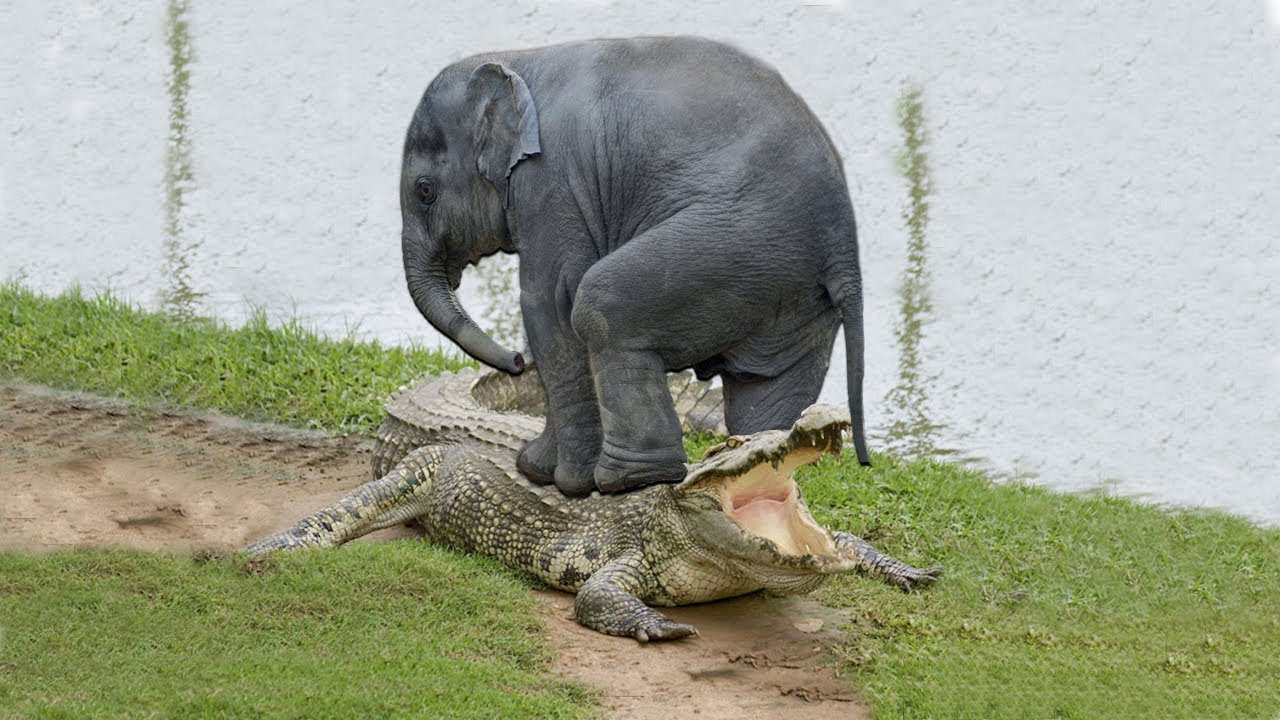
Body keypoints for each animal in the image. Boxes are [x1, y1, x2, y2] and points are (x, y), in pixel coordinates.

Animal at [400, 36, 870, 497]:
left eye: (424, 191)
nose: (514, 361)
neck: (519, 59)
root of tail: (845, 245)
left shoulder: (552, 182)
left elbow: (549, 303)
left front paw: (557, 479)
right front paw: (539, 470)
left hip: (736, 243)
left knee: (600, 307)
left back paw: (629, 480)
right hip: (793, 290)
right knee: (763, 383)